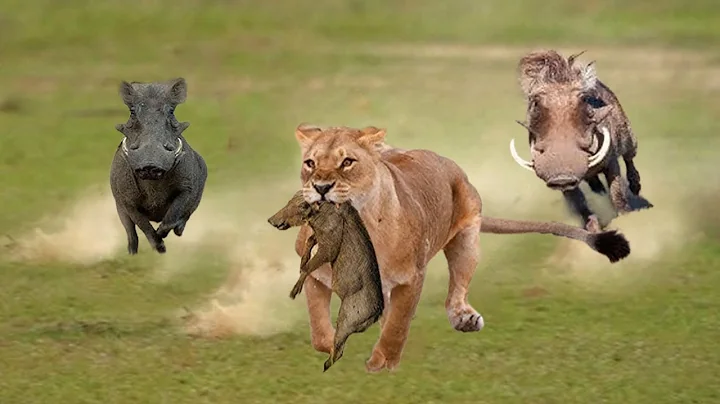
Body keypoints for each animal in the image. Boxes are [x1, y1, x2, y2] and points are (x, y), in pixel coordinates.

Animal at [290, 124, 631, 373]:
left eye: (347, 162)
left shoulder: (411, 277)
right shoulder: (316, 275)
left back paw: (463, 318)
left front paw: (382, 362)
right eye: (310, 163)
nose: (321, 187)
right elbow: (319, 328)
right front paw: (334, 344)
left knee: (456, 290)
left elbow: (397, 326)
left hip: (467, 241)